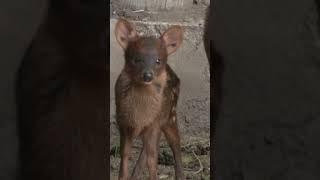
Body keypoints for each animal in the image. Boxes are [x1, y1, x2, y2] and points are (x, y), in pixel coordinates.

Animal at [115, 18, 185, 180]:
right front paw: (123, 176)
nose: (147, 75)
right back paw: (135, 175)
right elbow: (125, 154)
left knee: (176, 143)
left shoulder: (154, 122)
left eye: (158, 60)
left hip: (170, 115)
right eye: (136, 59)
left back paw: (180, 175)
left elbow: (153, 159)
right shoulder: (123, 122)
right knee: (145, 151)